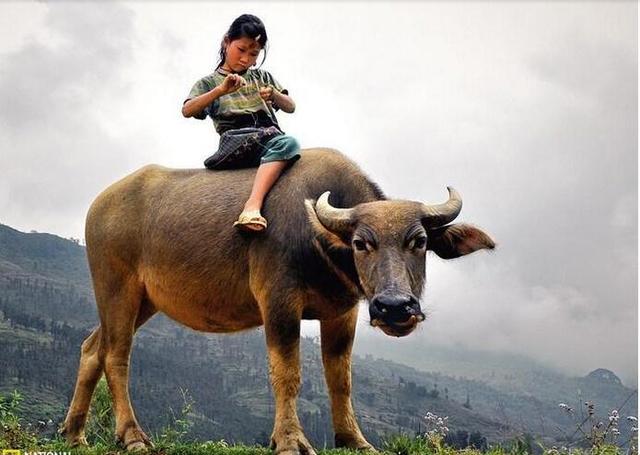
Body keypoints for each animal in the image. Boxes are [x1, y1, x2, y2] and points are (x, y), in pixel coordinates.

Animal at [61, 149, 496, 452]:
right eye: (361, 243)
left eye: (418, 241)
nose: (394, 307)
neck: (320, 240)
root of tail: (100, 204)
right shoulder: (279, 303)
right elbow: (287, 373)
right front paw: (289, 440)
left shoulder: (342, 312)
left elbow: (340, 378)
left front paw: (354, 440)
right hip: (116, 286)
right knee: (117, 355)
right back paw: (133, 436)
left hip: (144, 301)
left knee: (92, 348)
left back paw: (75, 435)